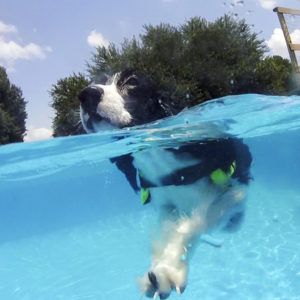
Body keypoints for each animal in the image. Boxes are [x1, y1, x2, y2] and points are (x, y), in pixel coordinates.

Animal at [78, 69, 252, 298]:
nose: (86, 95)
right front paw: (161, 268)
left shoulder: (234, 191)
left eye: (132, 81)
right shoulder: (166, 204)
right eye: (97, 81)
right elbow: (168, 228)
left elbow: (191, 223)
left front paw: (170, 270)